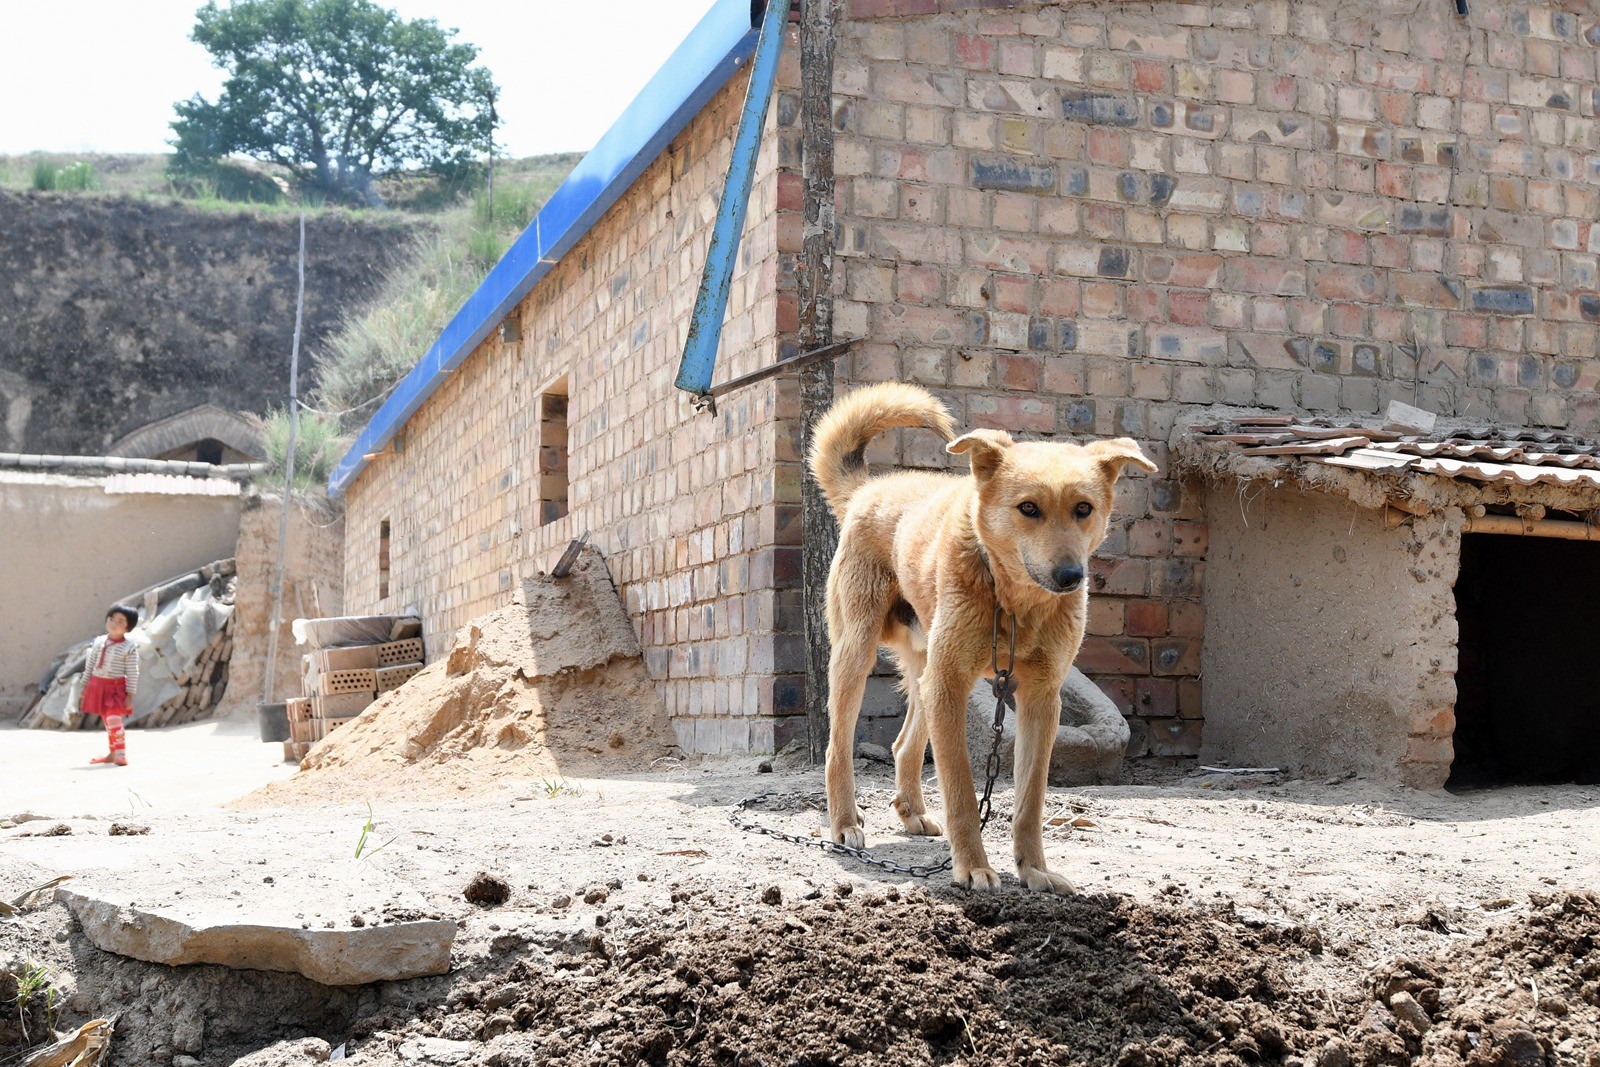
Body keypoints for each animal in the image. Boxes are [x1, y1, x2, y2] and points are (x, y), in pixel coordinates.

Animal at [812, 383, 1152, 895]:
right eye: (1028, 508)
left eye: (1083, 509)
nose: (1071, 577)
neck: (1013, 603)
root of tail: (868, 490)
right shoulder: (951, 683)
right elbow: (962, 791)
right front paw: (972, 866)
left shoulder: (1039, 698)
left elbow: (1030, 800)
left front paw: (1034, 869)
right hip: (859, 654)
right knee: (838, 746)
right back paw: (844, 822)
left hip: (927, 672)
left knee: (903, 745)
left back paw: (911, 811)